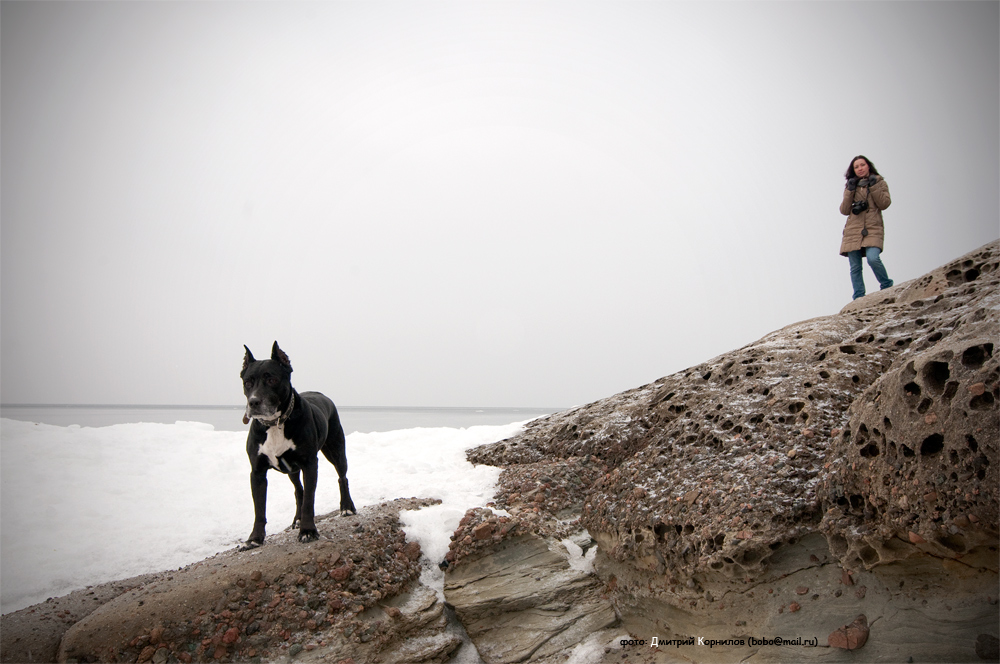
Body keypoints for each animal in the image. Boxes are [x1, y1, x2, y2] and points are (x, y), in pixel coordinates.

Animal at [239, 342, 356, 548]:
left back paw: (346, 507)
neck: (276, 423)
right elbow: (259, 509)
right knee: (298, 489)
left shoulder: (309, 464)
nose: (253, 402)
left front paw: (308, 531)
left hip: (336, 451)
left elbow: (309, 500)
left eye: (272, 380)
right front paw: (255, 538)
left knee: (342, 477)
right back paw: (297, 519)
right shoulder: (257, 472)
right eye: (247, 382)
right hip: (291, 469)